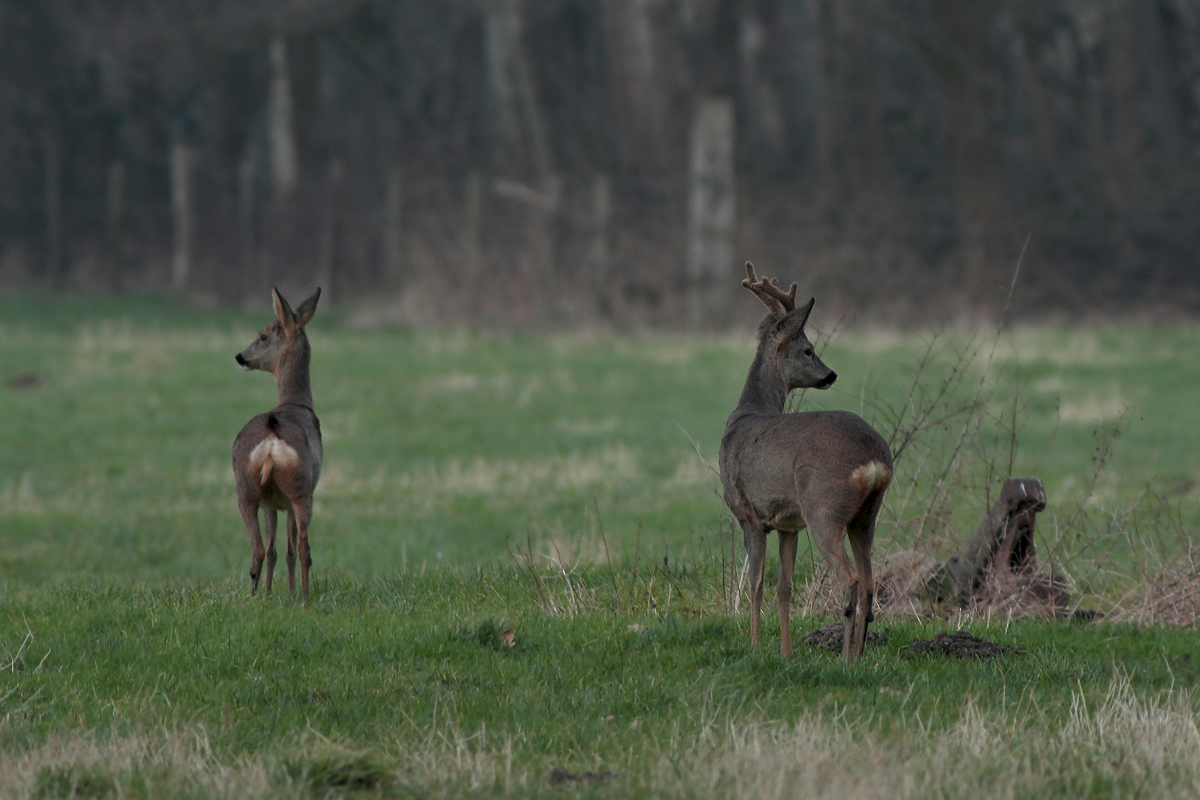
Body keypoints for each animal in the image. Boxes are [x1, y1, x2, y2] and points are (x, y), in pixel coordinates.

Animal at [230, 284, 321, 604]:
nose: (241, 356)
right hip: (297, 489)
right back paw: (302, 599)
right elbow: (281, 550)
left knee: (263, 549)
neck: (295, 403)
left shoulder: (275, 502)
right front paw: (281, 593)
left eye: (263, 336)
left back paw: (263, 598)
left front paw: (275, 594)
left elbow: (278, 550)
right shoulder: (278, 502)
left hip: (254, 488)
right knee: (299, 547)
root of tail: (271, 441)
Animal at [715, 266, 897, 662]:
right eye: (808, 349)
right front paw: (785, 653)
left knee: (851, 578)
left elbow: (755, 585)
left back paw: (844, 657)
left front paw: (754, 646)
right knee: (869, 581)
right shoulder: (789, 524)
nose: (831, 374)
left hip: (823, 507)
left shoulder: (748, 513)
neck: (747, 412)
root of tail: (874, 458)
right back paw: (858, 654)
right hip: (866, 515)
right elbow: (783, 586)